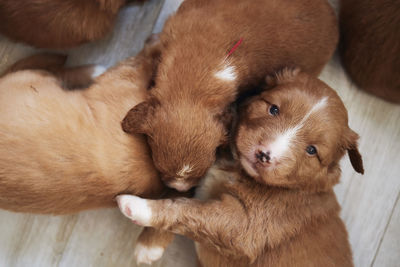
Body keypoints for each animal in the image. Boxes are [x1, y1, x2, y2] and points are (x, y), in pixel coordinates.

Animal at [117, 69, 364, 267]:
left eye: (312, 150)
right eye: (273, 109)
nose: (264, 154)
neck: (237, 168)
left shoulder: (247, 227)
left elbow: (188, 209)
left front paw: (136, 206)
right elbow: (182, 193)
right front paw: (150, 243)